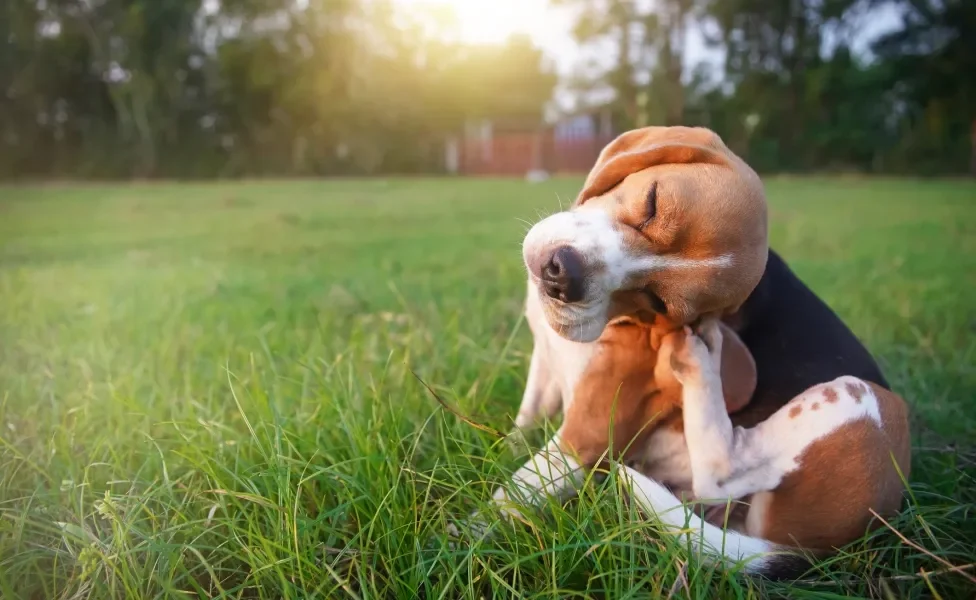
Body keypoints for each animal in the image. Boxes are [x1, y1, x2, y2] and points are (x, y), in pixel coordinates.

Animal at [454, 127, 912, 580]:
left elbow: (508, 498)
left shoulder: (586, 436)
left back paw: (698, 361)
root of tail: (817, 550)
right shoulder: (545, 366)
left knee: (722, 471)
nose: (562, 276)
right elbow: (524, 423)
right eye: (652, 203)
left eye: (659, 302)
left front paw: (456, 543)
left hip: (862, 401)